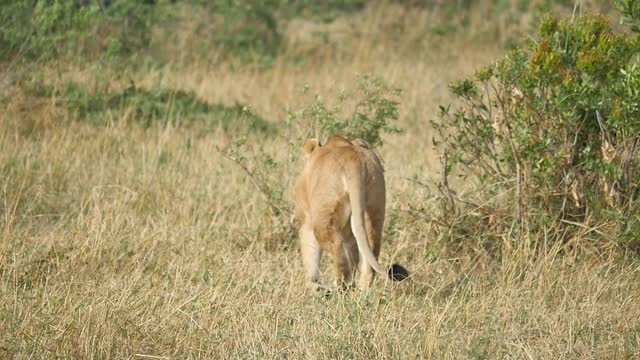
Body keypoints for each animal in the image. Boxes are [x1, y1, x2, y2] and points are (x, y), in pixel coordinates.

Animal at [296, 135, 410, 290]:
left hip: (324, 216)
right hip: (373, 206)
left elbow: (310, 254)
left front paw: (312, 286)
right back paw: (362, 290)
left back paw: (340, 288)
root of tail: (354, 160)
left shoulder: (306, 220)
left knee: (338, 250)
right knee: (370, 252)